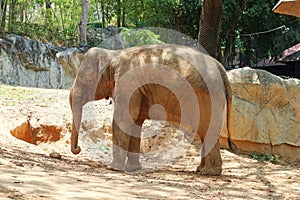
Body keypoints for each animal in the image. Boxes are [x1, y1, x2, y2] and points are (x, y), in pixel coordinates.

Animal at [69, 43, 236, 175]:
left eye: (85, 79)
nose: (78, 149)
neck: (113, 54)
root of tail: (221, 69)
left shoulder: (127, 84)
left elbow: (123, 120)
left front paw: (113, 168)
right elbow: (135, 122)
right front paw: (133, 168)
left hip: (208, 98)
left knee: (208, 131)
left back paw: (208, 172)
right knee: (204, 134)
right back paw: (200, 170)